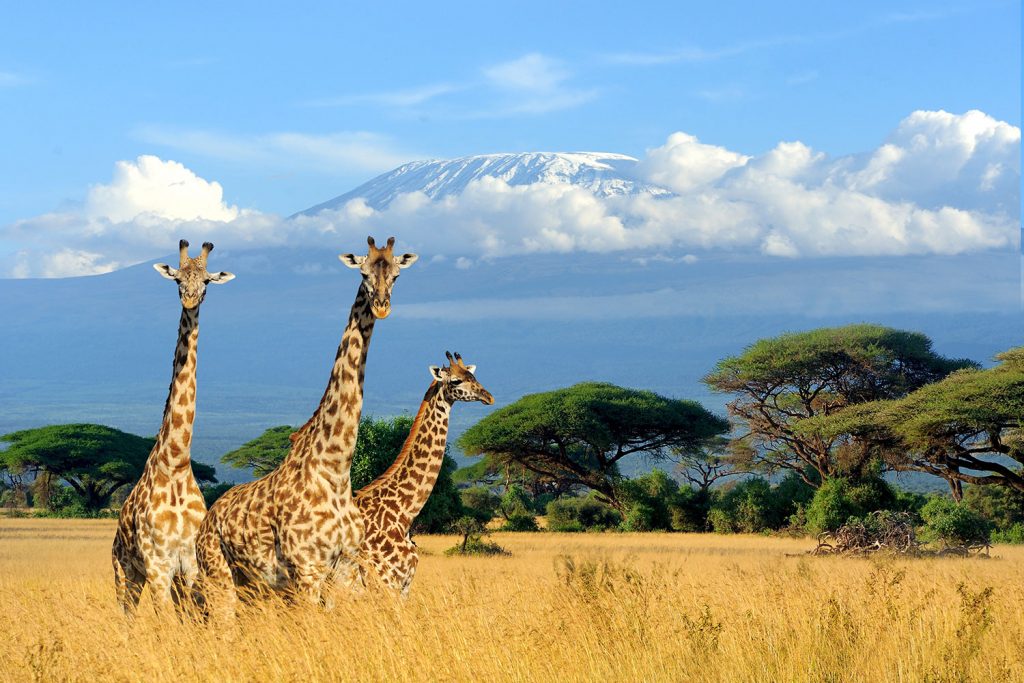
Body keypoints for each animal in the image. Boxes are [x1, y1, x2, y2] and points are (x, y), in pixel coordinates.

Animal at [111, 239, 235, 618]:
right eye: (178, 279)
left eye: (207, 281)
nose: (191, 299)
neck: (177, 462)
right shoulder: (158, 564)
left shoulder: (190, 564)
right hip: (125, 572)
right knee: (127, 615)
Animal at [196, 236, 417, 612]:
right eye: (363, 273)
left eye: (397, 275)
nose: (382, 306)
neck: (335, 469)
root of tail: (208, 519)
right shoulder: (307, 569)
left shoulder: (345, 569)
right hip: (219, 576)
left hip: (253, 586)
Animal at [354, 352, 493, 596]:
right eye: (455, 381)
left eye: (474, 376)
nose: (489, 397)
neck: (403, 513)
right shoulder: (386, 583)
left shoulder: (403, 587)